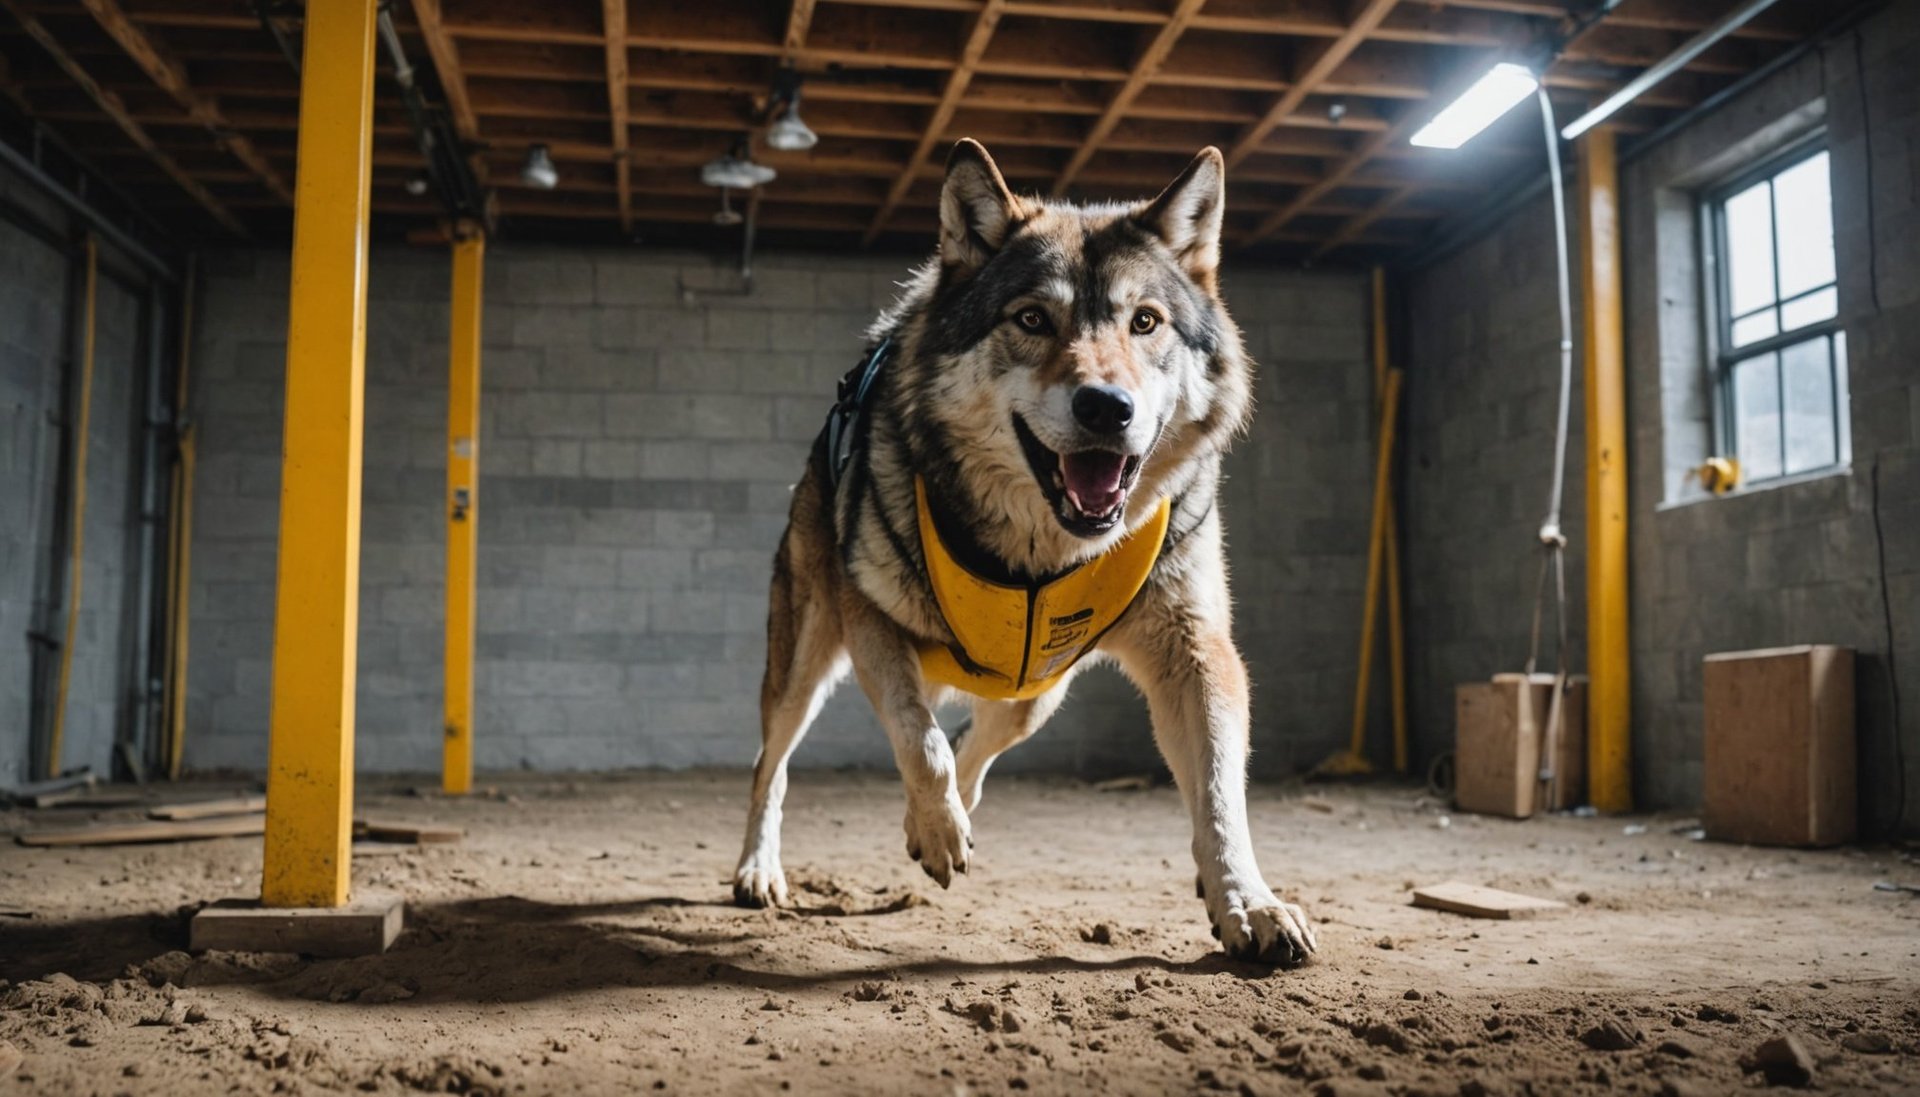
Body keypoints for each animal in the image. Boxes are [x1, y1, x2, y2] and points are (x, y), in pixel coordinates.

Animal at [730, 139, 1316, 966]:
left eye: (1146, 322)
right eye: (1033, 318)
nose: (1107, 407)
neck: (1040, 552)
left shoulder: (1196, 652)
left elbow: (1220, 796)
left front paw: (1250, 905)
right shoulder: (870, 620)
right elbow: (918, 737)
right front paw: (938, 831)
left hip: (1042, 689)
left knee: (982, 736)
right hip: (805, 665)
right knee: (771, 765)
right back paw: (760, 870)